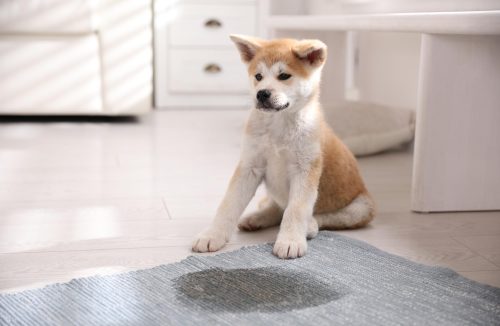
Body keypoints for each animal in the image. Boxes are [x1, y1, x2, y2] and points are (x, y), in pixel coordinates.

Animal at [192, 35, 376, 260]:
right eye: (258, 76)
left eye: (284, 76)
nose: (262, 94)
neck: (278, 126)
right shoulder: (249, 166)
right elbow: (228, 204)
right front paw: (212, 235)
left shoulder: (304, 169)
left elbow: (296, 210)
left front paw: (290, 241)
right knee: (276, 207)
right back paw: (257, 218)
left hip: (361, 207)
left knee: (321, 217)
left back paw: (310, 226)